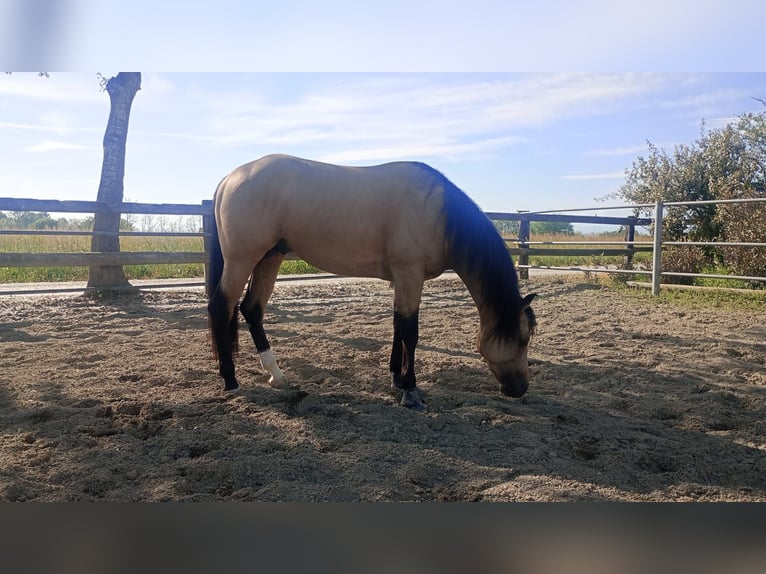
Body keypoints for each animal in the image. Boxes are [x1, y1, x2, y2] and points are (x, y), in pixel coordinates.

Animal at [207, 155, 536, 412]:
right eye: (523, 338)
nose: (520, 389)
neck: (437, 212)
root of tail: (230, 178)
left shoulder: (401, 279)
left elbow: (397, 325)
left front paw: (396, 378)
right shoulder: (409, 274)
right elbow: (410, 331)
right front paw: (411, 391)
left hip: (269, 258)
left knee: (252, 309)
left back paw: (276, 374)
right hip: (242, 259)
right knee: (221, 307)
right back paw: (231, 380)